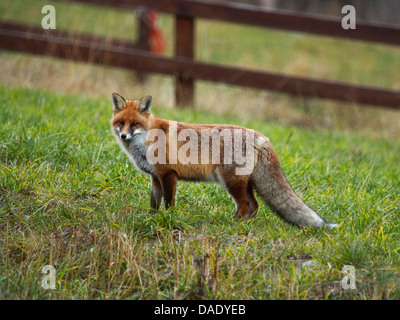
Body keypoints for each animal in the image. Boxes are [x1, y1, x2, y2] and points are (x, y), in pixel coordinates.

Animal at [111, 94, 338, 229]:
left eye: (135, 124)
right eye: (121, 122)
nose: (123, 135)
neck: (148, 139)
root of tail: (261, 136)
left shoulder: (168, 174)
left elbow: (168, 203)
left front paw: (168, 220)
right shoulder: (155, 177)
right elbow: (154, 203)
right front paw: (152, 219)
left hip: (231, 181)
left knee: (246, 205)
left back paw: (233, 225)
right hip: (245, 182)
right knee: (254, 205)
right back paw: (245, 226)